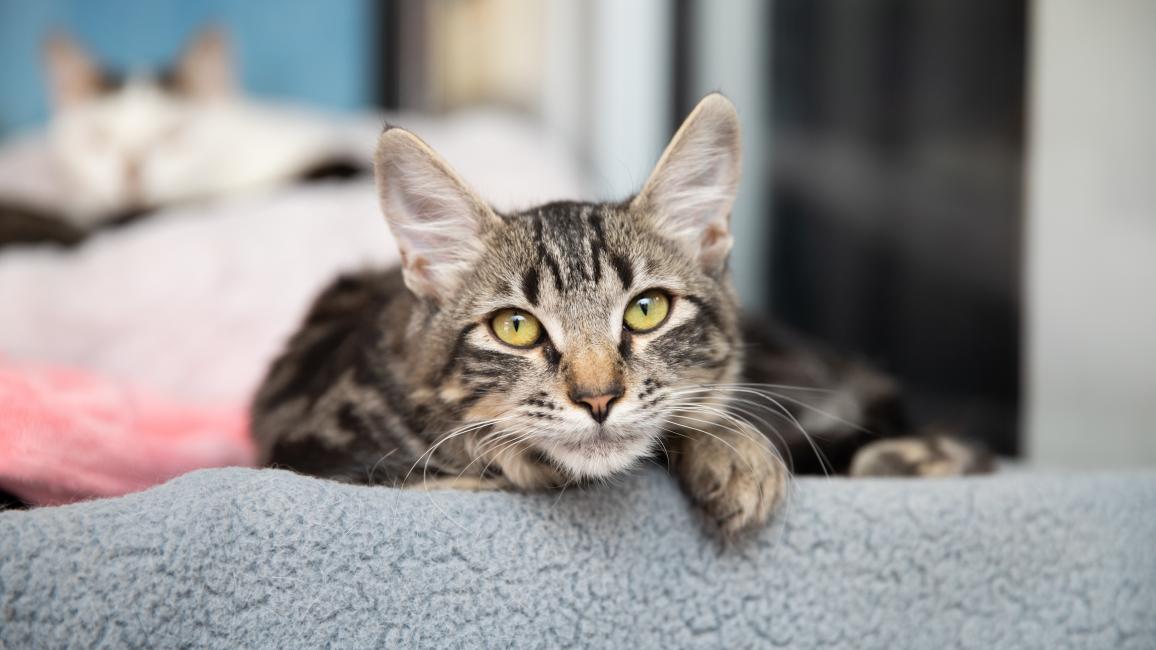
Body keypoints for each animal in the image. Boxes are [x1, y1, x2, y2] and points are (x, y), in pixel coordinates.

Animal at [250, 93, 984, 534]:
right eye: (515, 327)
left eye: (646, 311)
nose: (599, 398)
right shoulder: (322, 451)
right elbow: (460, 477)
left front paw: (733, 454)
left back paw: (909, 457)